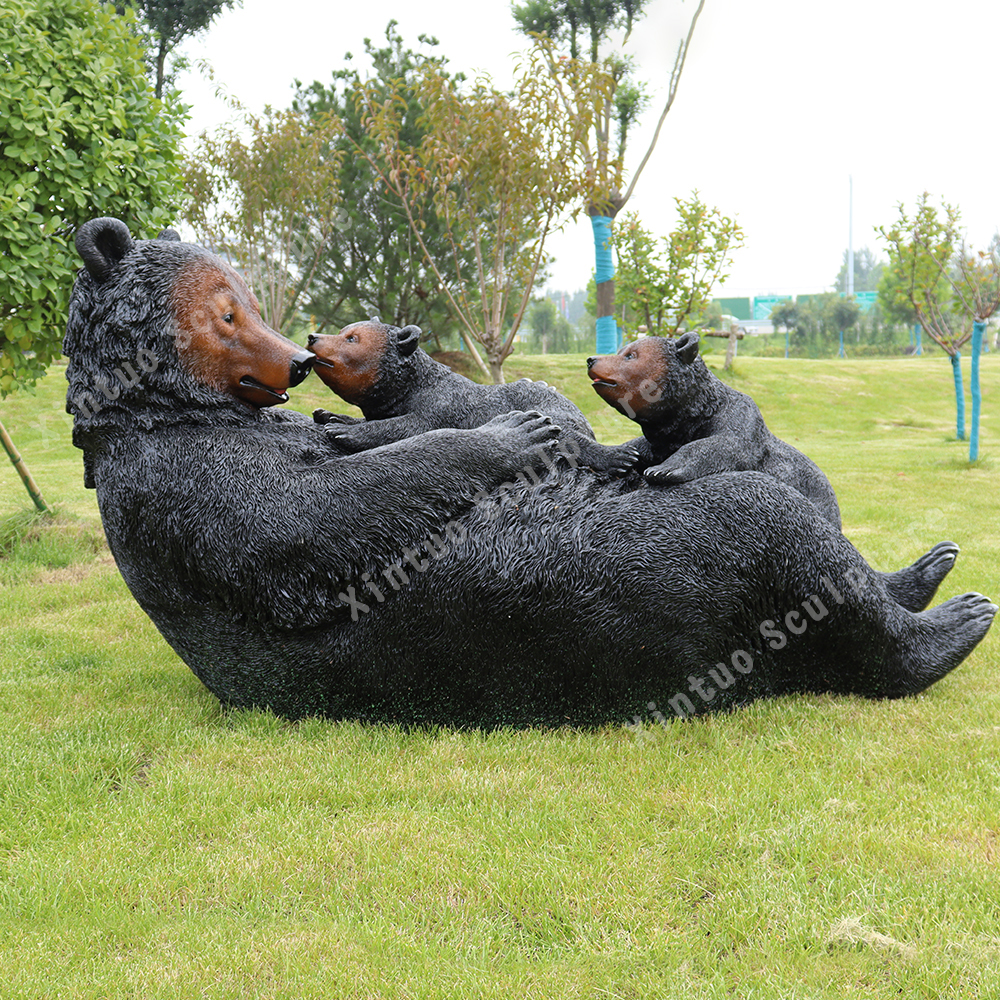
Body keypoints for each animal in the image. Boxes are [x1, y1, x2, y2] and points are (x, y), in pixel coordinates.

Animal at [308, 320, 639, 475]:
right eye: (343, 331)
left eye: (352, 339)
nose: (313, 336)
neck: (414, 386)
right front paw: (333, 415)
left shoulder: (442, 405)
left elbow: (410, 427)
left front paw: (345, 430)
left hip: (554, 410)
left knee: (567, 434)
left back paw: (616, 456)